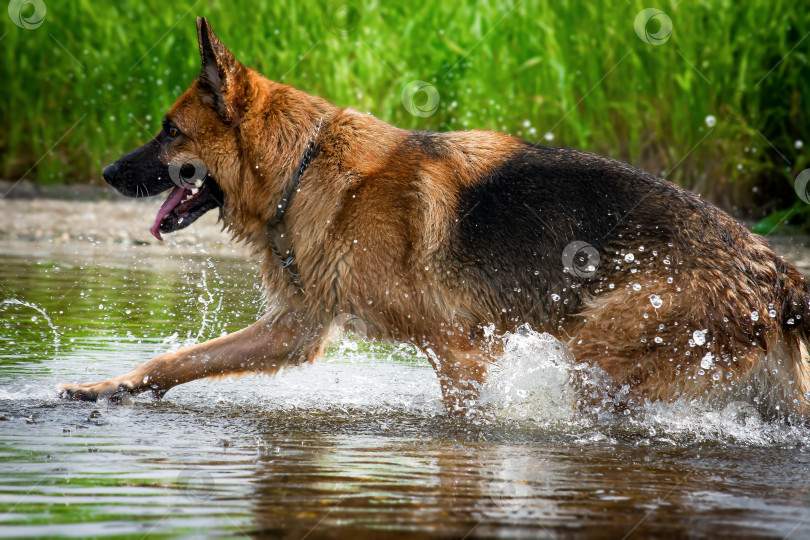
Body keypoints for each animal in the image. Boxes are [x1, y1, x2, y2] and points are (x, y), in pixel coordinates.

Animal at [61, 16, 808, 420]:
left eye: (168, 131)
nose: (106, 174)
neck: (302, 165)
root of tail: (773, 268)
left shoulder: (458, 353)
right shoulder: (294, 332)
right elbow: (175, 359)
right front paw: (107, 387)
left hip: (598, 361)